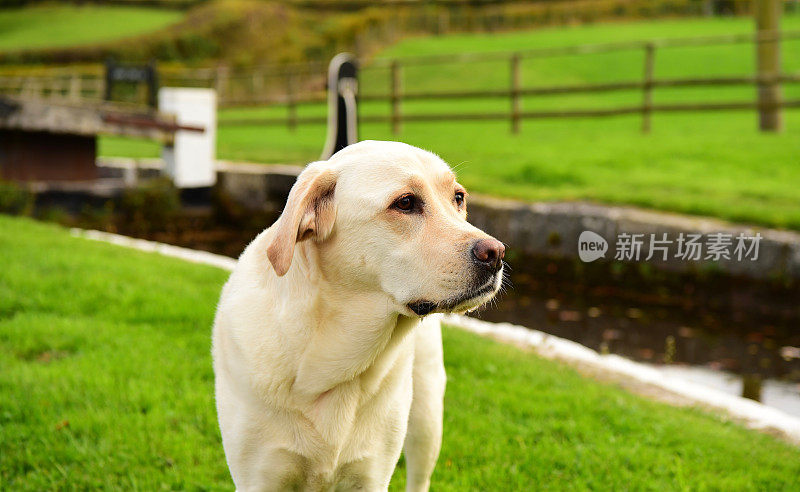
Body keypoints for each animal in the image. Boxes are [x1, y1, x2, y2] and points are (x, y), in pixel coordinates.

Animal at [212, 140, 500, 490]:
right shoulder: (259, 477)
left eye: (458, 198)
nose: (497, 253)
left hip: (427, 419)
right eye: (405, 203)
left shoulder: (371, 475)